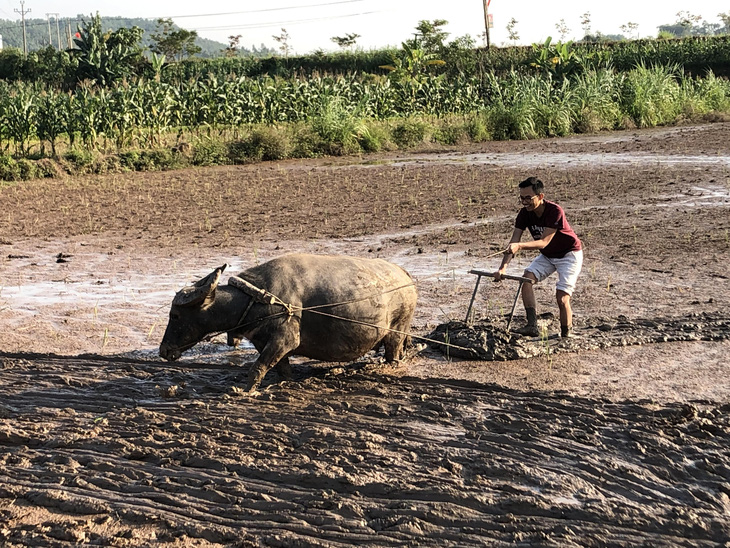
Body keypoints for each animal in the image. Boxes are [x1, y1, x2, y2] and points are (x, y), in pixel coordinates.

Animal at [159, 253, 420, 390]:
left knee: (393, 354)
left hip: (397, 332)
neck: (257, 299)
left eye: (175, 315)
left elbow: (257, 368)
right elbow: (280, 368)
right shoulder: (267, 343)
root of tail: (404, 275)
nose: (164, 350)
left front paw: (245, 391)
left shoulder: (285, 340)